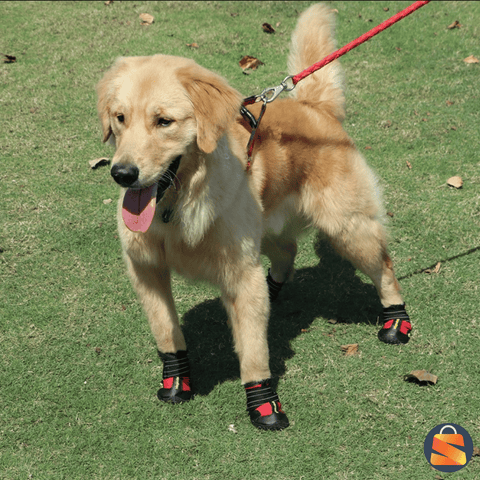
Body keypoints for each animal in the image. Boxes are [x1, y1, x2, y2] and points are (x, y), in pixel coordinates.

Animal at [95, 3, 410, 432]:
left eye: (164, 121)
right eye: (120, 118)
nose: (122, 173)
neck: (178, 204)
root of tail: (314, 106)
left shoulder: (239, 273)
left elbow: (254, 351)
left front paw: (263, 402)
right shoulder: (146, 269)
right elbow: (167, 333)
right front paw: (176, 381)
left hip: (348, 227)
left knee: (385, 267)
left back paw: (397, 320)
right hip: (268, 227)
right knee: (287, 250)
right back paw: (274, 288)